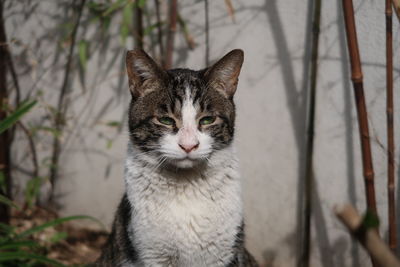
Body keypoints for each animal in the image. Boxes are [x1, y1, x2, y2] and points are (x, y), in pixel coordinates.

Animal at [97, 48, 260, 267]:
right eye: (165, 120)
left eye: (207, 120)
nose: (188, 145)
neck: (186, 188)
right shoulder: (152, 254)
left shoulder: (224, 253)